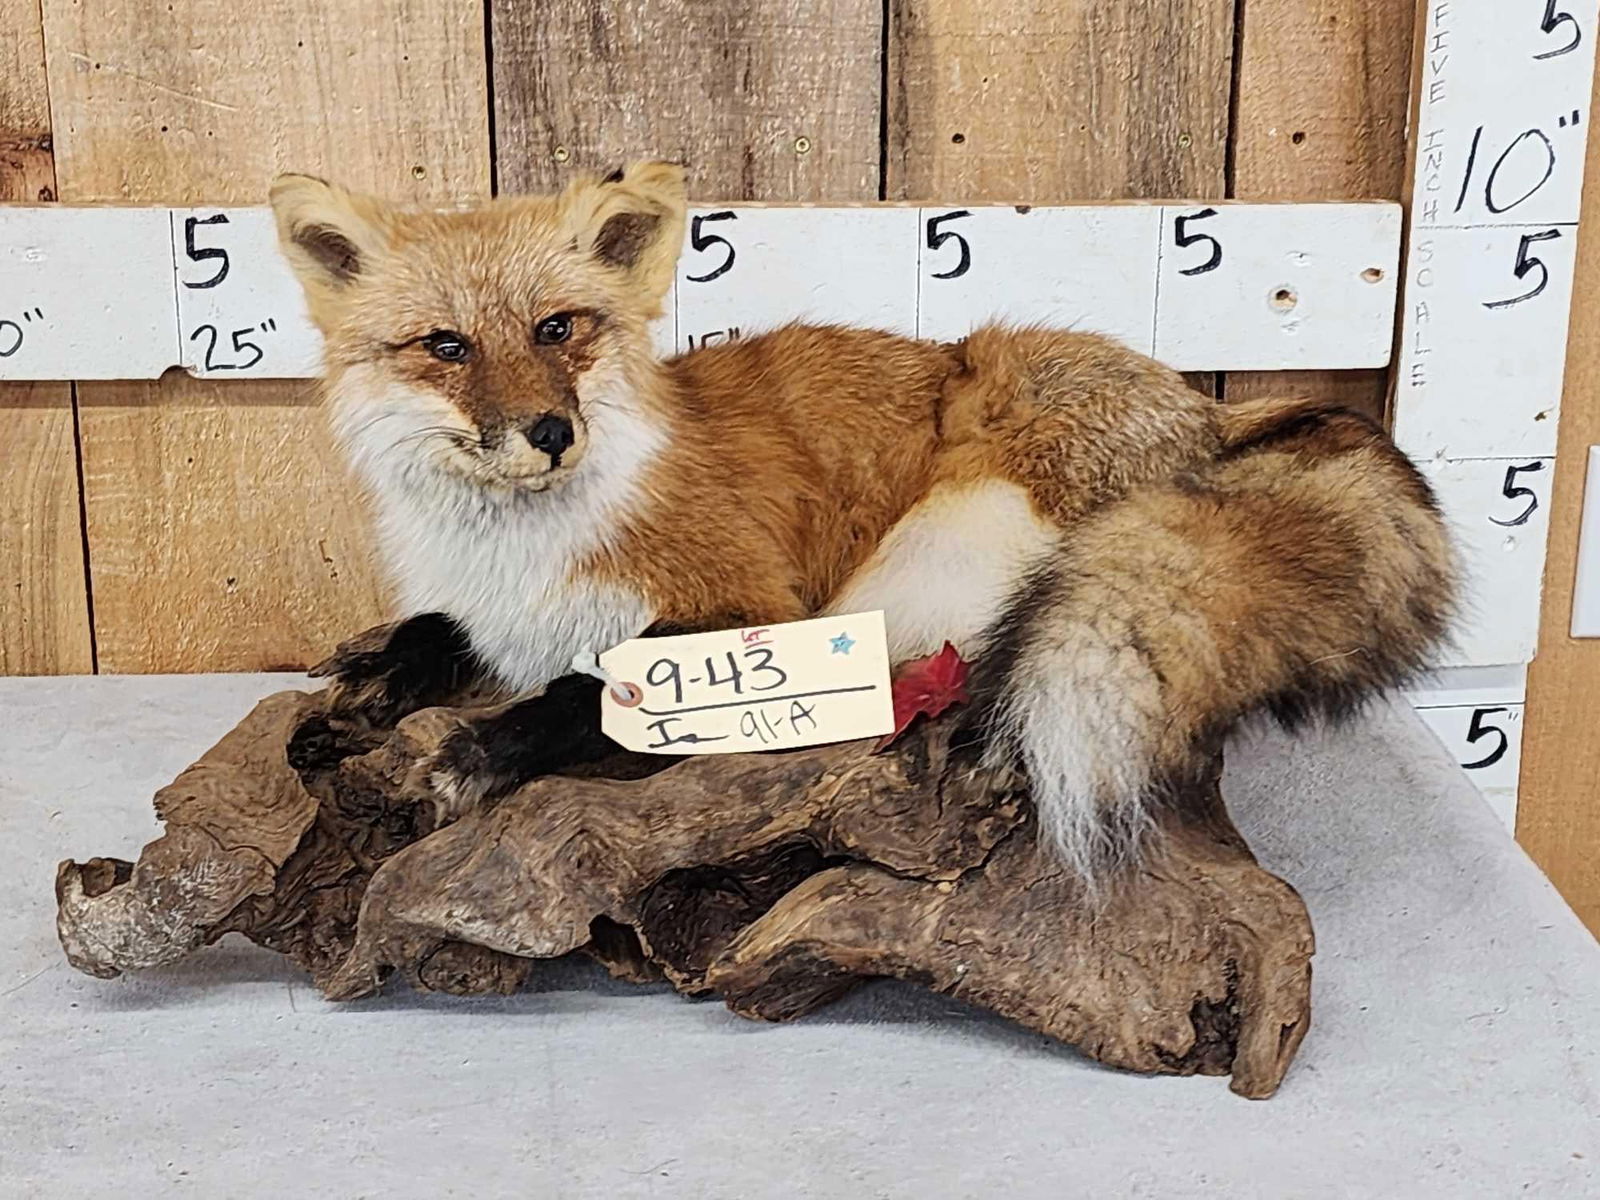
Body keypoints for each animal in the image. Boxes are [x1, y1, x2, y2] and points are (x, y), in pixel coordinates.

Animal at [270, 160, 1457, 884]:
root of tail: (1207, 409)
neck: (518, 553)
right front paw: (358, 698)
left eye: (559, 328)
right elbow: (428, 633)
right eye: (447, 347)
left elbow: (582, 693)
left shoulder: (749, 606)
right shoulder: (479, 609)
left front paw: (477, 751)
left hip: (931, 558)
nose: (550, 432)